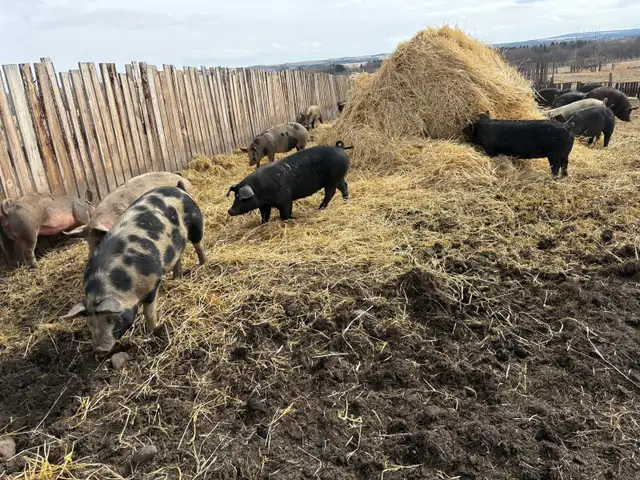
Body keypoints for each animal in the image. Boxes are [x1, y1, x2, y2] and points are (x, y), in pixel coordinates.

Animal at [60, 182, 206, 353]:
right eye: (89, 323)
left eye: (111, 319)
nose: (100, 350)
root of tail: (178, 188)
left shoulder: (152, 285)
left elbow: (149, 312)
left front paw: (154, 330)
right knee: (178, 257)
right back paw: (177, 278)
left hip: (196, 222)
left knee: (198, 244)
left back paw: (203, 264)